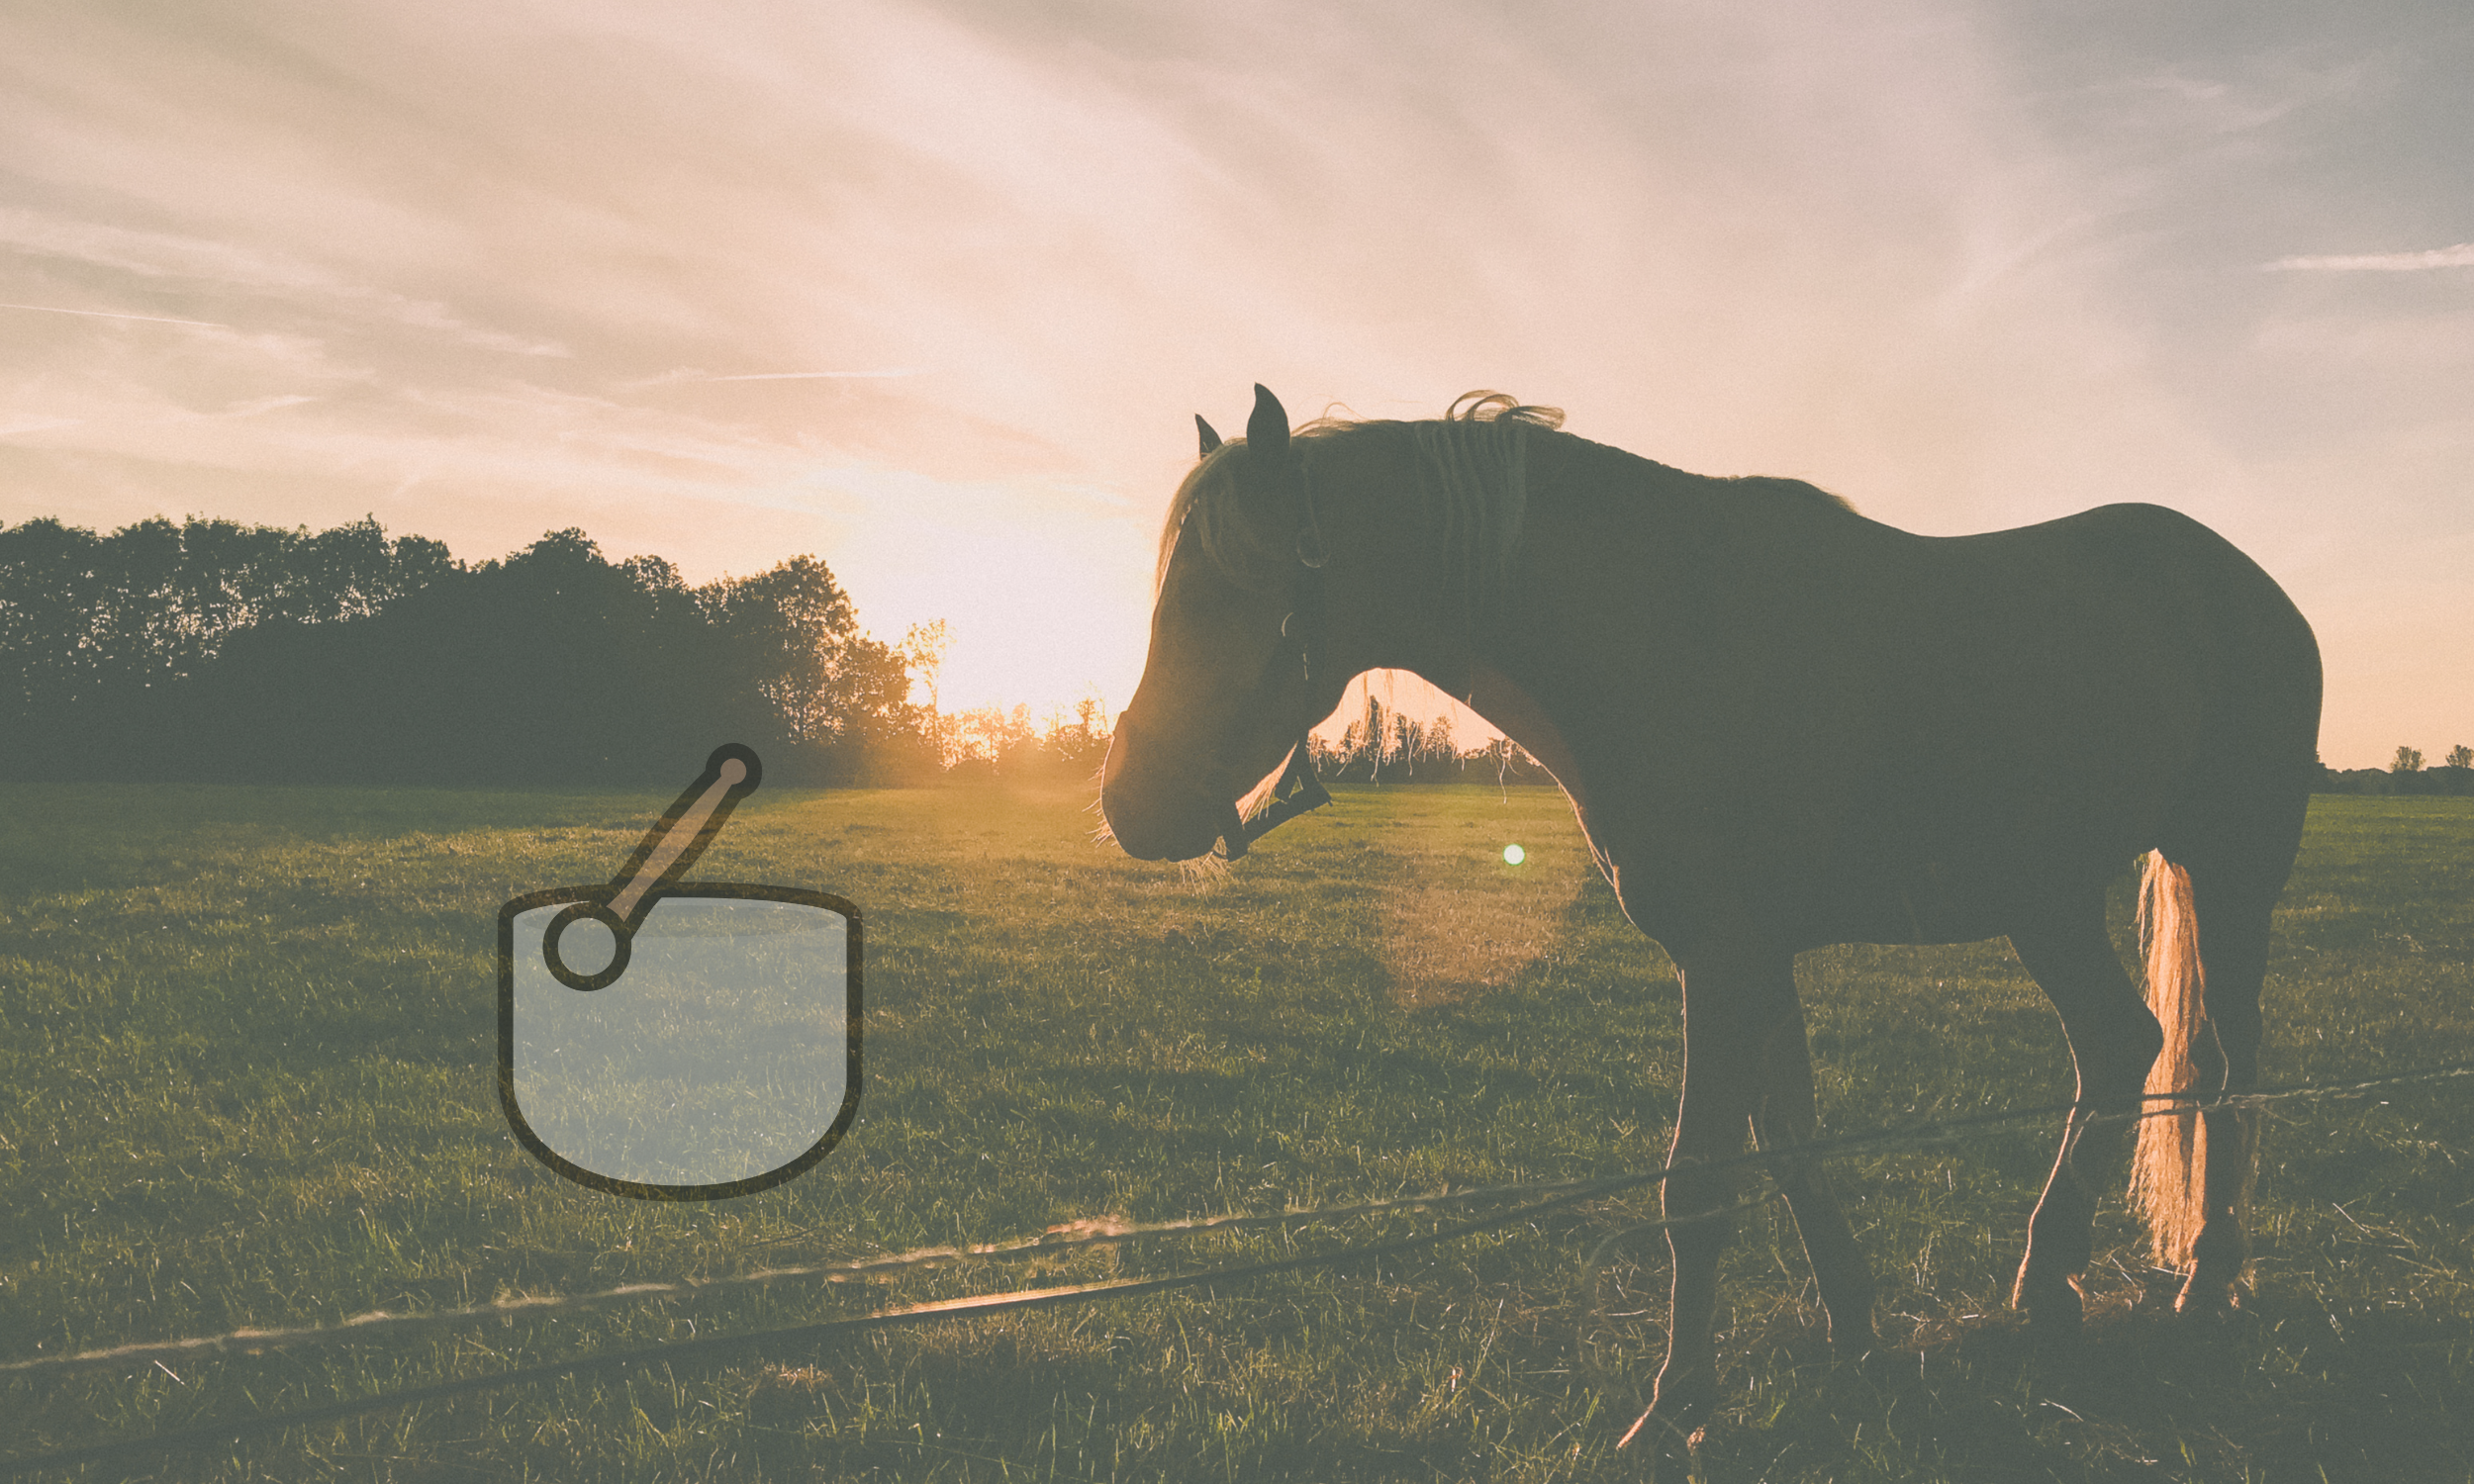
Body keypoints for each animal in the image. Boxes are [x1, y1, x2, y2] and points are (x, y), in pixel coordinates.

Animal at [1099, 385, 2322, 1450]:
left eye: (1219, 591)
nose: (1127, 803)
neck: (1666, 633)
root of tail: (2251, 588)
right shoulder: (1752, 961)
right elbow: (1787, 1145)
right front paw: (1855, 1328)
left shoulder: (1723, 961)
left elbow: (1696, 1185)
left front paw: (1675, 1405)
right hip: (2048, 900)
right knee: (2121, 1047)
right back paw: (2049, 1283)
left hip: (2226, 875)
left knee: (2222, 1068)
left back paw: (2205, 1278)